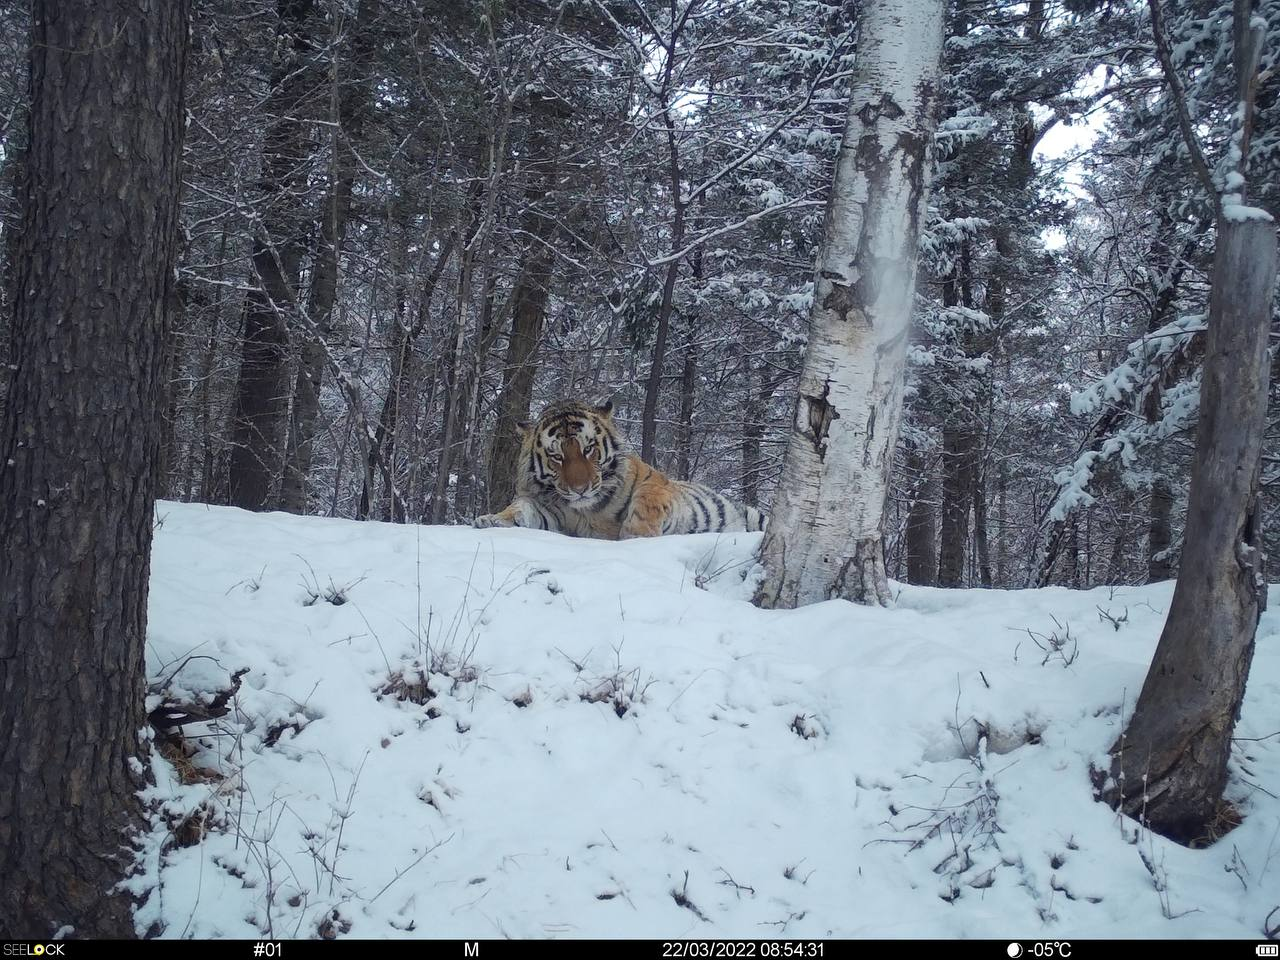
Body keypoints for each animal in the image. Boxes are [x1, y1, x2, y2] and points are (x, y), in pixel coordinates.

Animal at [476, 399, 762, 542]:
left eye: (588, 449)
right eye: (557, 456)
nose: (580, 490)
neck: (587, 510)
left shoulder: (657, 481)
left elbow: (647, 500)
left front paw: (636, 534)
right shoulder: (551, 509)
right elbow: (521, 507)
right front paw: (492, 520)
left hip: (755, 516)